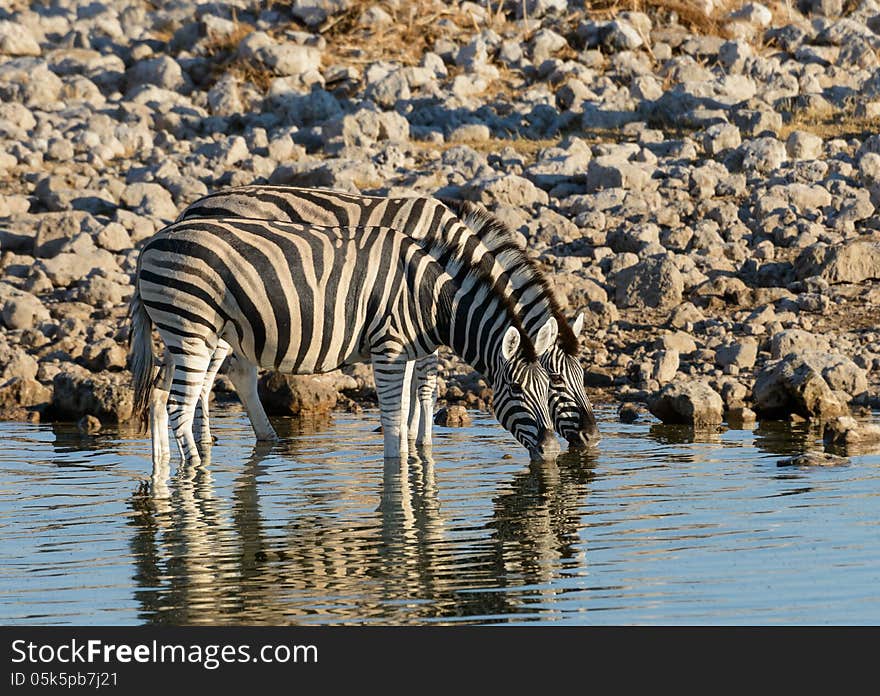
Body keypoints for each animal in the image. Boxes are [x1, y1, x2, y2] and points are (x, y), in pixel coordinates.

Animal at [129, 220, 556, 464]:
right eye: (515, 389)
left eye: (551, 389)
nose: (553, 450)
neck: (430, 300)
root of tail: (151, 243)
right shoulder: (388, 349)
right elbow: (394, 426)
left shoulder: (405, 356)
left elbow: (405, 418)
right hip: (194, 329)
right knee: (180, 406)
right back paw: (194, 474)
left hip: (177, 334)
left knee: (159, 396)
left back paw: (162, 471)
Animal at [174, 184, 600, 446]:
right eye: (556, 381)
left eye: (580, 378)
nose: (593, 437)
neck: (447, 247)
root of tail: (190, 208)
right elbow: (424, 382)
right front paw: (419, 441)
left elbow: (414, 381)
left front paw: (412, 439)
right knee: (207, 378)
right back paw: (205, 444)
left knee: (236, 373)